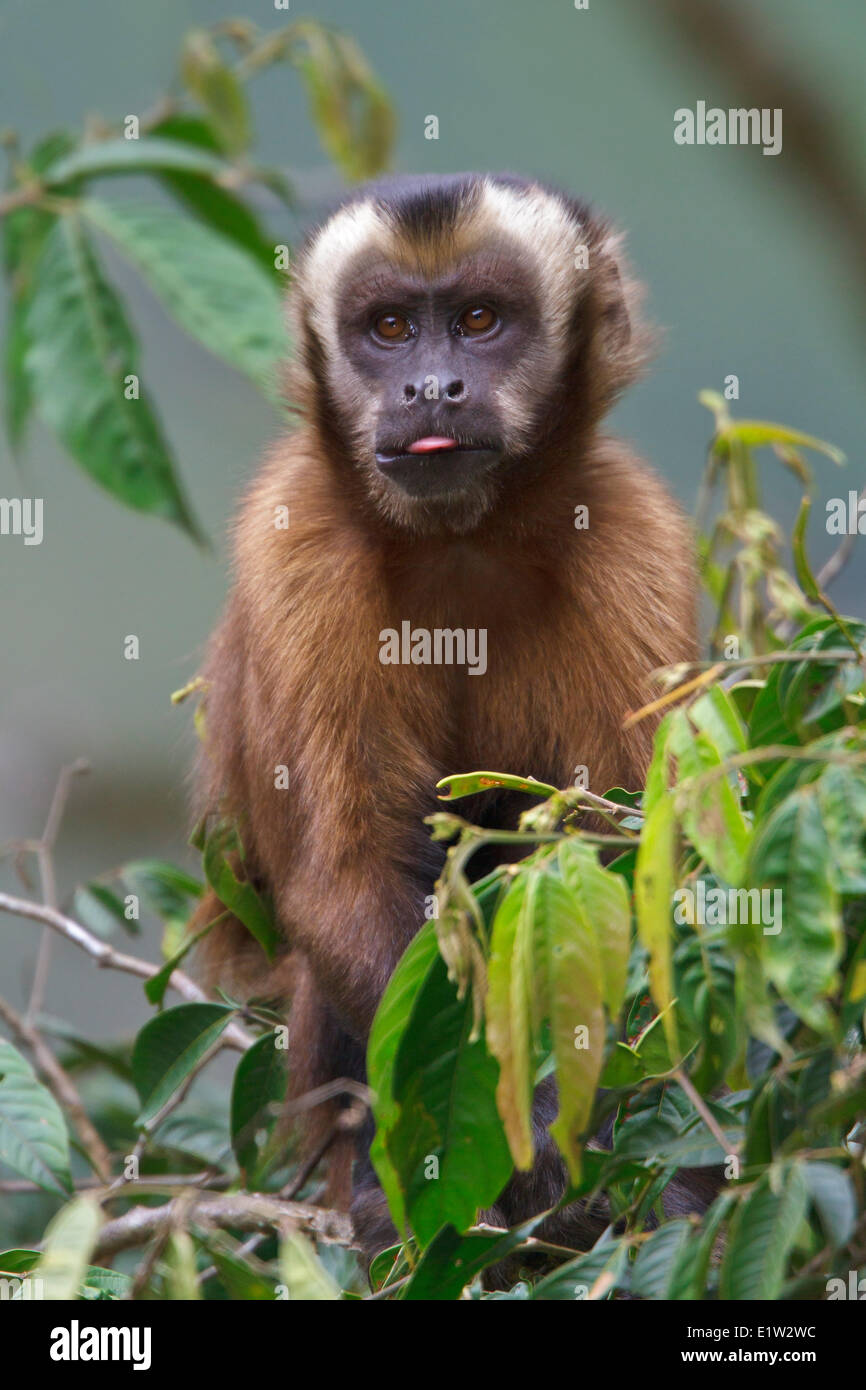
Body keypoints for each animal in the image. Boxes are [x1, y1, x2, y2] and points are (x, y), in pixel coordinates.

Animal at [194, 170, 706, 1273]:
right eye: (389, 328)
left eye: (477, 320)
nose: (430, 388)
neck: (460, 538)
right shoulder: (297, 546)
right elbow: (351, 878)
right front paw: (525, 1147)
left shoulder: (629, 536)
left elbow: (635, 877)